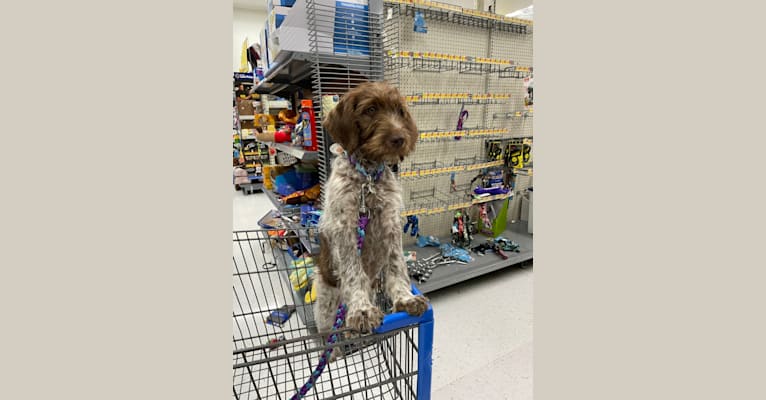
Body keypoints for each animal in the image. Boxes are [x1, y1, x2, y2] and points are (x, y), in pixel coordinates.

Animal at [314, 82, 432, 356]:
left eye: (399, 111)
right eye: (370, 110)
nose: (399, 139)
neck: (367, 178)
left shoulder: (390, 225)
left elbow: (397, 267)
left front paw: (405, 298)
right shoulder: (345, 231)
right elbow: (353, 272)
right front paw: (362, 310)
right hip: (325, 308)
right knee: (329, 337)